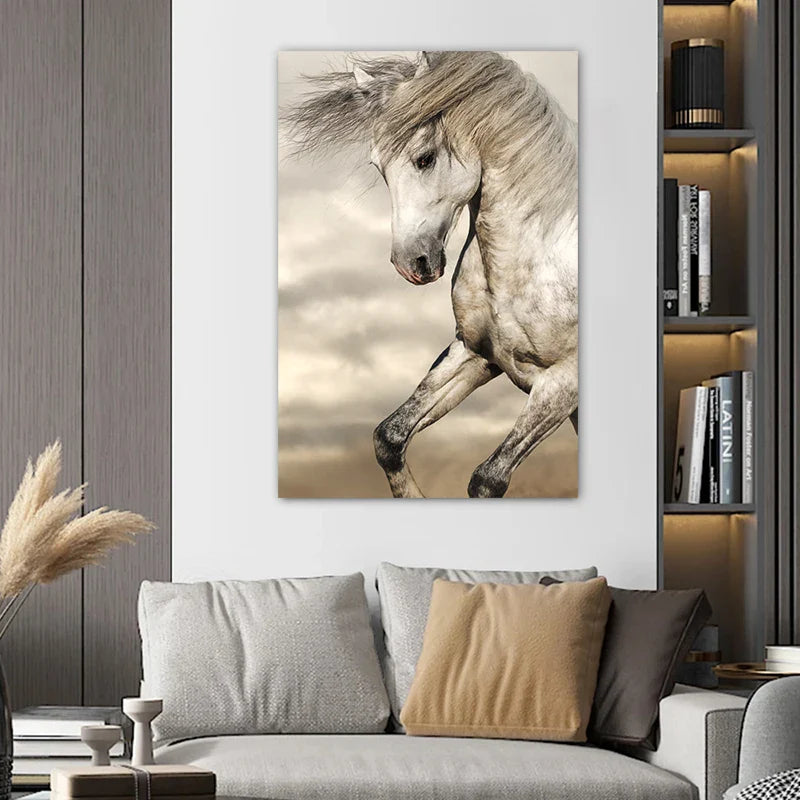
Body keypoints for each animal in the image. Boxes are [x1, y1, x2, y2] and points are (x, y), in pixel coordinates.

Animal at [284, 51, 578, 498]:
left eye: (425, 158)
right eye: (379, 166)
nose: (412, 264)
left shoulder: (563, 383)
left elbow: (488, 479)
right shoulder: (475, 354)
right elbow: (389, 437)